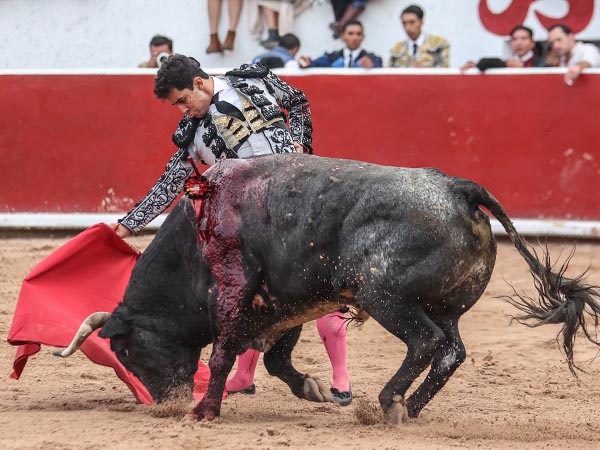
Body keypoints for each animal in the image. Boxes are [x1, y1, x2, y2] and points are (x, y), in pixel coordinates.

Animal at [56, 154, 600, 422]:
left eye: (125, 349)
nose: (164, 403)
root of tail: (458, 188)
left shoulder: (234, 291)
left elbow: (223, 352)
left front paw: (205, 410)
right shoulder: (284, 302)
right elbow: (276, 359)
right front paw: (313, 389)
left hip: (386, 296)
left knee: (426, 342)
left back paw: (388, 402)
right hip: (446, 306)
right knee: (451, 351)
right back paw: (408, 409)